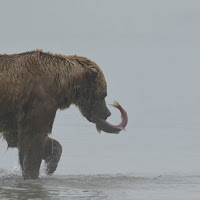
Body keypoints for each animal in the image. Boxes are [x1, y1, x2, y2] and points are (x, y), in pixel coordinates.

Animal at [0, 50, 115, 180]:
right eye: (103, 94)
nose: (107, 113)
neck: (61, 86)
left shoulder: (14, 115)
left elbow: (16, 137)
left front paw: (50, 165)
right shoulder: (39, 101)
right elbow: (32, 138)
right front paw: (32, 174)